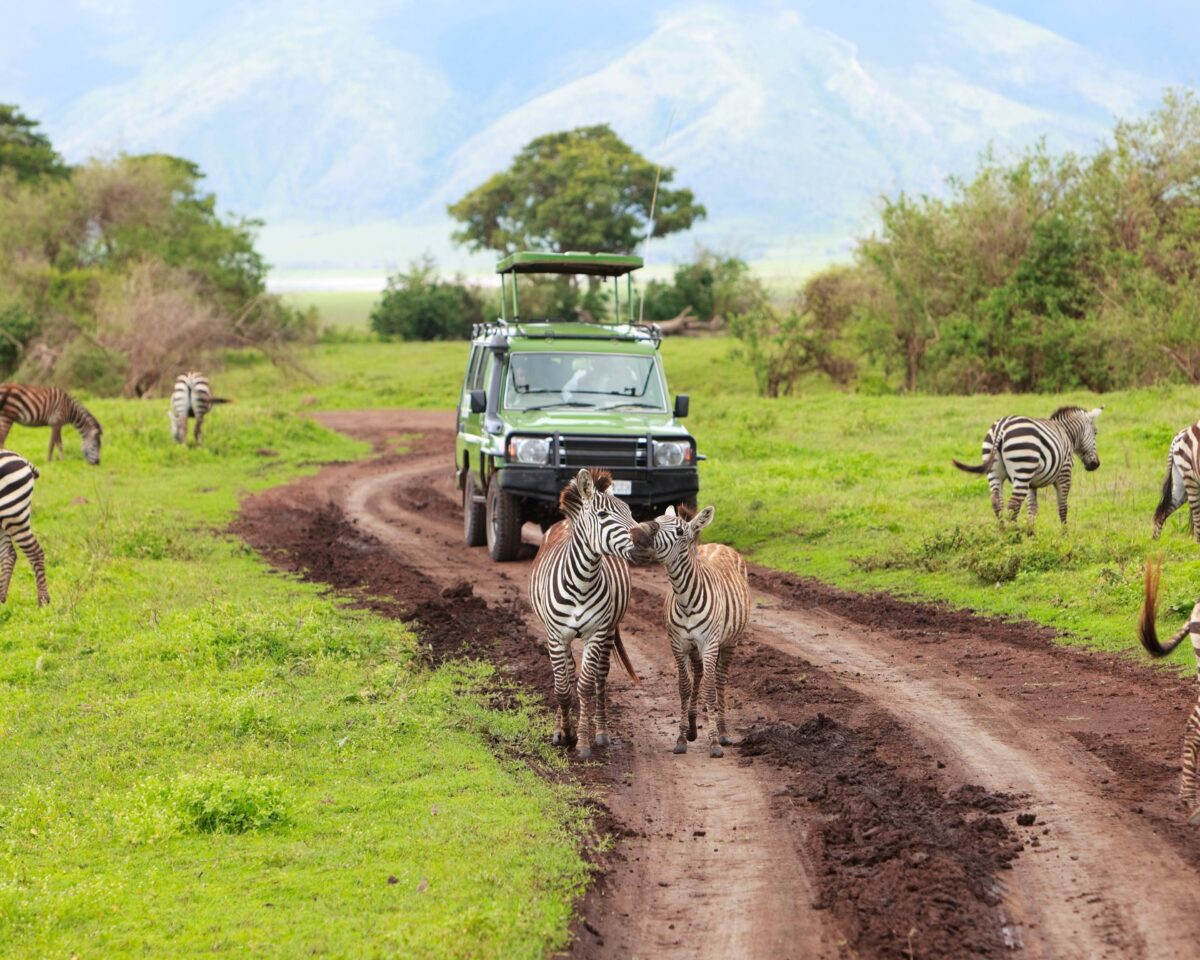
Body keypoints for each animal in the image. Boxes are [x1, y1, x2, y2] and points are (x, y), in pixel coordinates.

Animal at [530, 468, 643, 763]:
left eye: (629, 511)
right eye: (603, 515)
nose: (644, 539)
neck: (582, 581)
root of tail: (564, 522)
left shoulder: (596, 633)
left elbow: (585, 687)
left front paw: (581, 742)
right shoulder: (555, 636)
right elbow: (562, 688)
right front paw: (564, 733)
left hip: (609, 630)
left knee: (600, 678)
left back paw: (601, 732)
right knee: (568, 675)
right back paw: (561, 727)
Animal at [633, 501, 744, 758]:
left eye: (679, 531)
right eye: (656, 519)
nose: (637, 532)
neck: (685, 598)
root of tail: (718, 545)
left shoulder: (710, 644)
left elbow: (711, 691)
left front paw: (714, 742)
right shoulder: (679, 644)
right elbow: (684, 687)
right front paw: (682, 738)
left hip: (730, 642)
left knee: (719, 680)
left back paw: (723, 732)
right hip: (695, 649)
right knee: (699, 675)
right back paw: (694, 727)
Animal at [950, 405, 1099, 525]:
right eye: (1096, 433)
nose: (1096, 464)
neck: (1067, 434)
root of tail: (1001, 428)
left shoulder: (1032, 483)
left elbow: (1032, 509)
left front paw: (1031, 534)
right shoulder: (1064, 474)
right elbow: (1062, 507)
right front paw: (1064, 535)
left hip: (994, 471)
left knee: (997, 502)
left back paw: (1002, 532)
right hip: (1022, 470)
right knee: (1013, 504)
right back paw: (1014, 535)